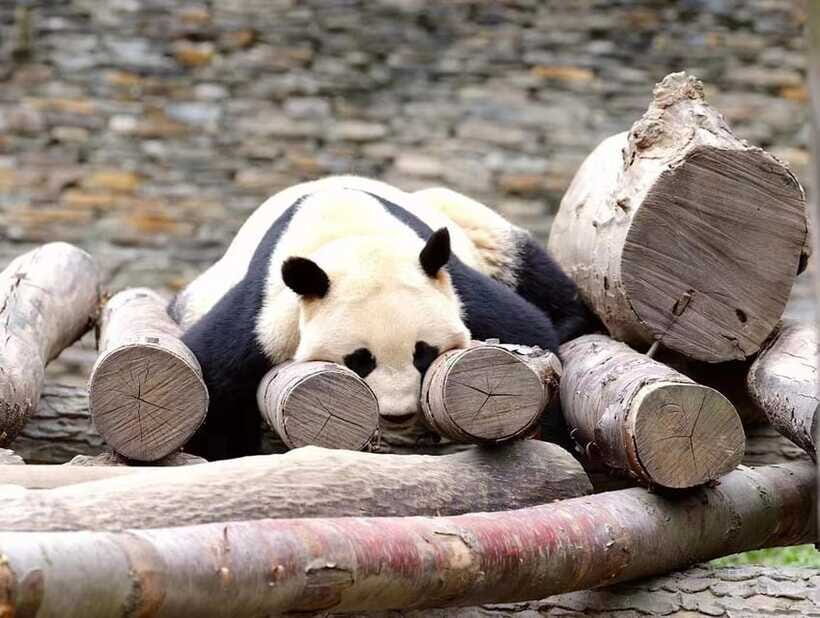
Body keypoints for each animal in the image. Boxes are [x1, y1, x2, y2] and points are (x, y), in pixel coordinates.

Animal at [172, 175, 595, 459]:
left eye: (423, 352)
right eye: (359, 360)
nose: (397, 415)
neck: (357, 240)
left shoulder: (456, 288)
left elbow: (528, 332)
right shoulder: (266, 314)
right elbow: (216, 378)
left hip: (468, 222)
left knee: (521, 259)